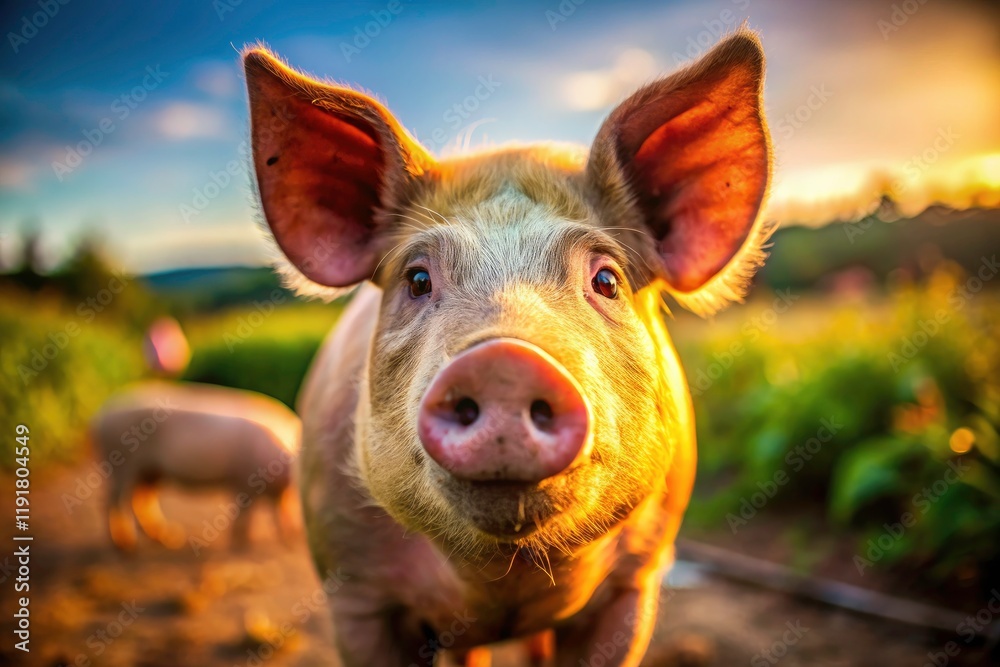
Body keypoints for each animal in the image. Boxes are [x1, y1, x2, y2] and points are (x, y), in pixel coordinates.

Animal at [90, 381, 301, 551]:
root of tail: (101, 414)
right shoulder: (245, 480)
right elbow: (244, 516)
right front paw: (243, 546)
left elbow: (280, 511)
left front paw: (289, 536)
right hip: (121, 461)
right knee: (113, 501)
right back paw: (126, 546)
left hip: (149, 471)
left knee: (142, 500)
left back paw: (169, 538)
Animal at [243, 28, 771, 666]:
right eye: (417, 279)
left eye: (607, 280)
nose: (504, 362)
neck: (500, 580)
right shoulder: (354, 591)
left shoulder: (637, 581)